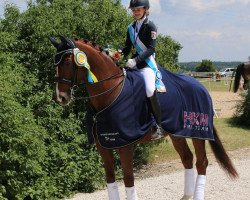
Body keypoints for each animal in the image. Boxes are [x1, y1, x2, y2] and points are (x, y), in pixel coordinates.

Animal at [48, 35, 238, 200]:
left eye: (67, 61)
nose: (60, 98)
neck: (111, 93)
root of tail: (201, 87)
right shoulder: (104, 146)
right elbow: (110, 178)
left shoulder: (125, 146)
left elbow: (128, 179)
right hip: (177, 133)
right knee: (187, 158)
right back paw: (186, 196)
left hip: (197, 133)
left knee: (201, 162)